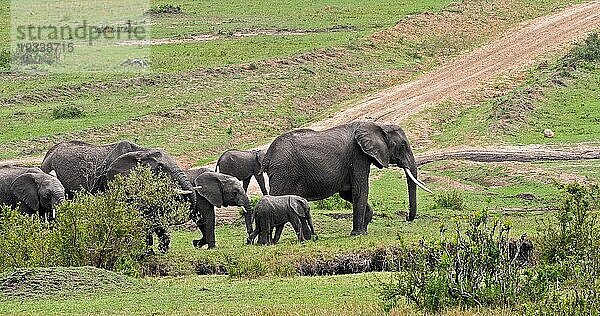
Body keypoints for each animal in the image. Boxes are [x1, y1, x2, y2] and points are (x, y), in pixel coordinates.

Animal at [262, 120, 432, 235]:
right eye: (402, 146)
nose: (407, 218)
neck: (378, 125)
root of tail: (268, 156)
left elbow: (347, 193)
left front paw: (364, 228)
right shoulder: (357, 156)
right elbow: (360, 190)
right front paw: (358, 234)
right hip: (283, 171)